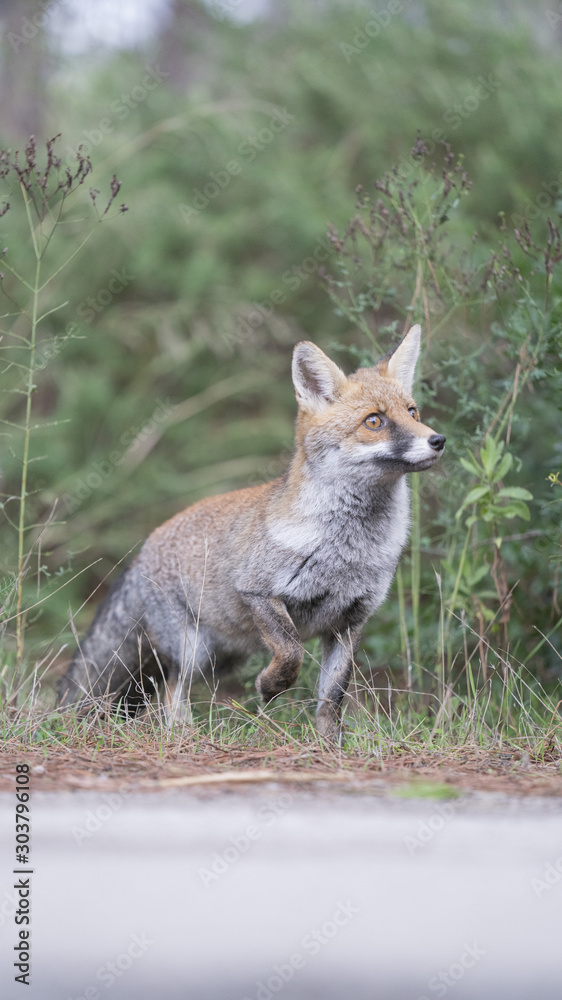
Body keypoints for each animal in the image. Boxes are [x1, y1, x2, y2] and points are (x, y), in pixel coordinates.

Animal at [57, 324, 442, 740]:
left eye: (413, 412)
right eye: (374, 421)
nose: (438, 440)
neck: (347, 550)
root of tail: (144, 548)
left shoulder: (349, 621)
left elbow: (332, 696)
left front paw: (329, 743)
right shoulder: (258, 592)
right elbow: (290, 652)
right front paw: (270, 687)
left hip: (223, 657)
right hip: (194, 651)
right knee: (171, 689)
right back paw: (184, 734)